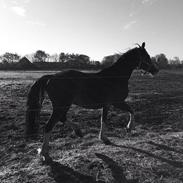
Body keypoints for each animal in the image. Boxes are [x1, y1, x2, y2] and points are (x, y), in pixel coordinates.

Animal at [25, 42, 159, 160]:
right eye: (146, 56)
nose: (156, 70)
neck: (115, 77)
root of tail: (51, 77)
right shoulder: (116, 102)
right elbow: (130, 111)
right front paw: (128, 128)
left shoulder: (108, 104)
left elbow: (105, 119)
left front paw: (105, 137)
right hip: (61, 106)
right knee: (49, 126)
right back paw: (44, 153)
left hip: (62, 106)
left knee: (62, 119)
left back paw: (78, 132)